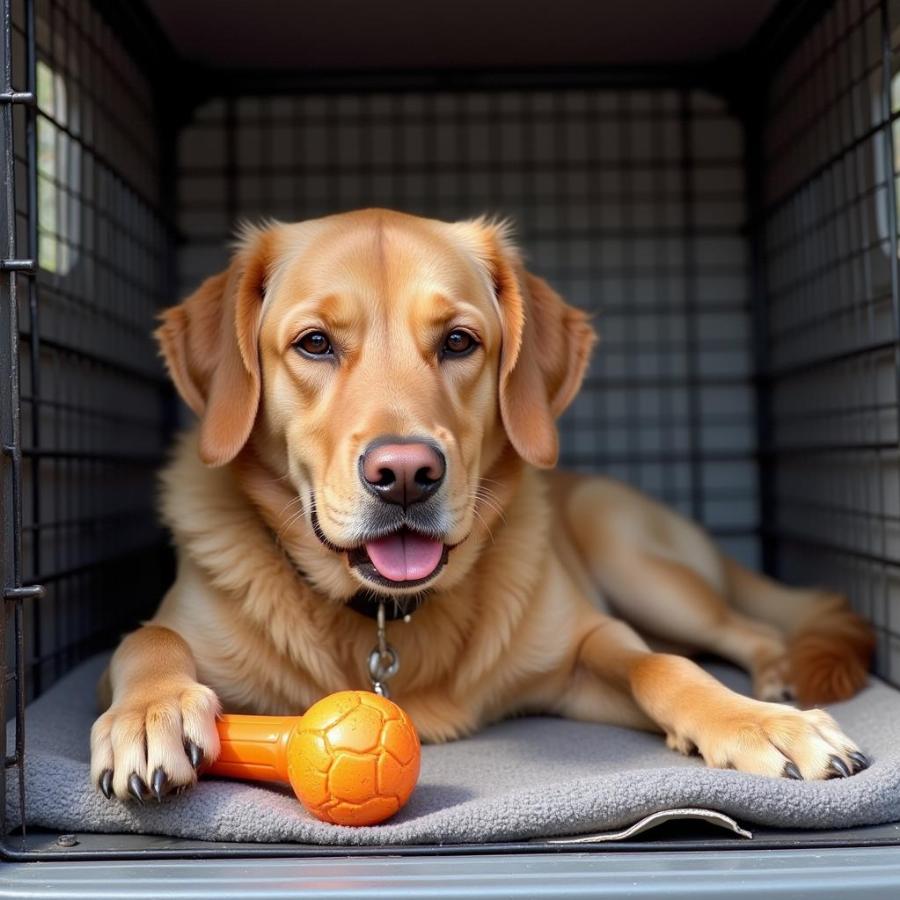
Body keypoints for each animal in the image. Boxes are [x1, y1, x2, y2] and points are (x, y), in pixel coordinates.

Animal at [89, 209, 872, 800]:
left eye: (459, 341)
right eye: (314, 343)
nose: (406, 474)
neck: (385, 614)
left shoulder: (588, 645)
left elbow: (662, 668)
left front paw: (759, 722)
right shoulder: (169, 633)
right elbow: (147, 640)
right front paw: (151, 712)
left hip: (641, 565)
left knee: (742, 630)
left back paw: (775, 681)